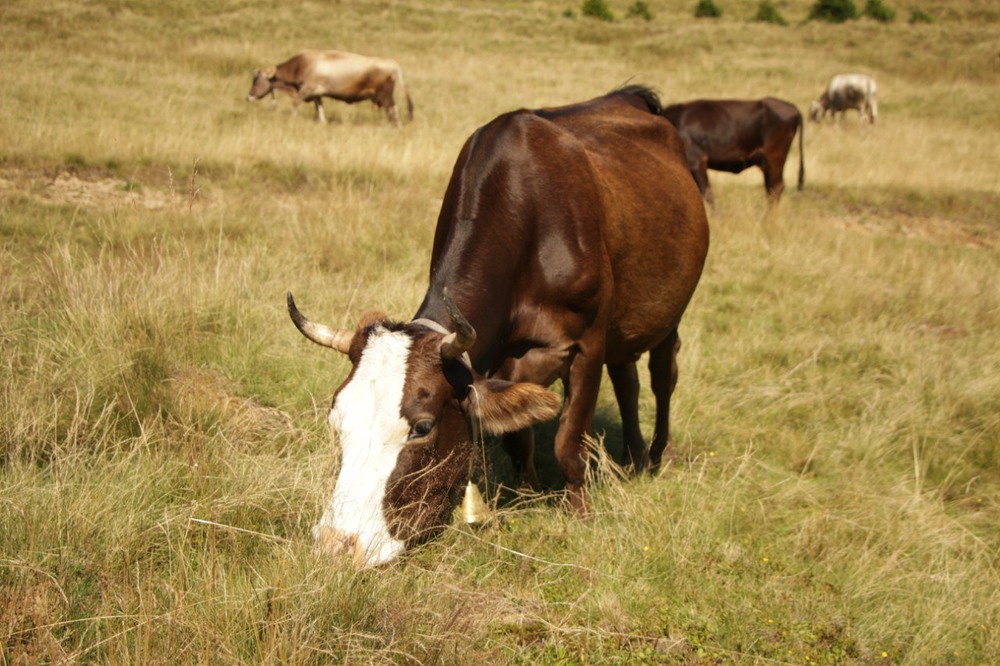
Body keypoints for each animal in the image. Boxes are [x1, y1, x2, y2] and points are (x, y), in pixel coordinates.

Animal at [248, 49, 416, 126]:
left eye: (256, 80)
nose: (248, 97)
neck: (300, 66)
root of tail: (391, 63)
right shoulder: (316, 94)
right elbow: (319, 108)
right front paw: (323, 123)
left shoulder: (306, 90)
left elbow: (295, 104)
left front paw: (292, 119)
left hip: (385, 95)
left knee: (394, 109)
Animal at [288, 84, 712, 564]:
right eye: (336, 418)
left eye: (421, 428)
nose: (337, 543)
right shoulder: (506, 359)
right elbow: (517, 437)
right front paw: (528, 492)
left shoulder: (588, 343)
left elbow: (569, 440)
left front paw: (579, 513)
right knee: (627, 379)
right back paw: (635, 456)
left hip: (668, 314)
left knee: (661, 377)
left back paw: (658, 455)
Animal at [664, 96, 804, 205]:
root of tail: (793, 108)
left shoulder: (697, 162)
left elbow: (707, 194)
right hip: (766, 164)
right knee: (771, 188)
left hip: (775, 158)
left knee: (776, 188)